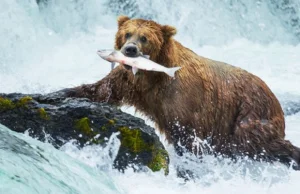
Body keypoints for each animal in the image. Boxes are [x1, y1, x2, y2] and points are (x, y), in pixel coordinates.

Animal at [62, 15, 300, 169]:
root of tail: (273, 96)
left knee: (253, 142)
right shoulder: (130, 82)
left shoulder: (183, 98)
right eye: (127, 33)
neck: (153, 75)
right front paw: (63, 92)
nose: (129, 49)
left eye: (144, 37)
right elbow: (102, 90)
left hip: (249, 112)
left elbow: (186, 133)